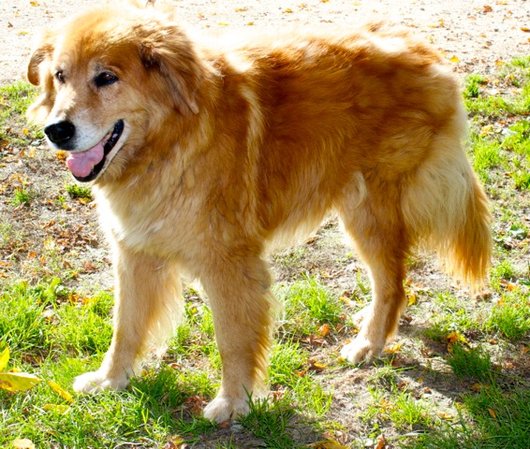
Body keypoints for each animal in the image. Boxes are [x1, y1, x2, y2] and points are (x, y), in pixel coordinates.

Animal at [25, 0, 490, 420]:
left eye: (106, 78)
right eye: (60, 76)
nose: (56, 130)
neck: (173, 139)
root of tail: (421, 48)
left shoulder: (229, 265)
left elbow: (232, 339)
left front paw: (234, 403)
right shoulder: (134, 254)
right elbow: (125, 326)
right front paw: (110, 380)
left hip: (369, 212)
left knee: (393, 280)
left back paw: (371, 341)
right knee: (392, 280)